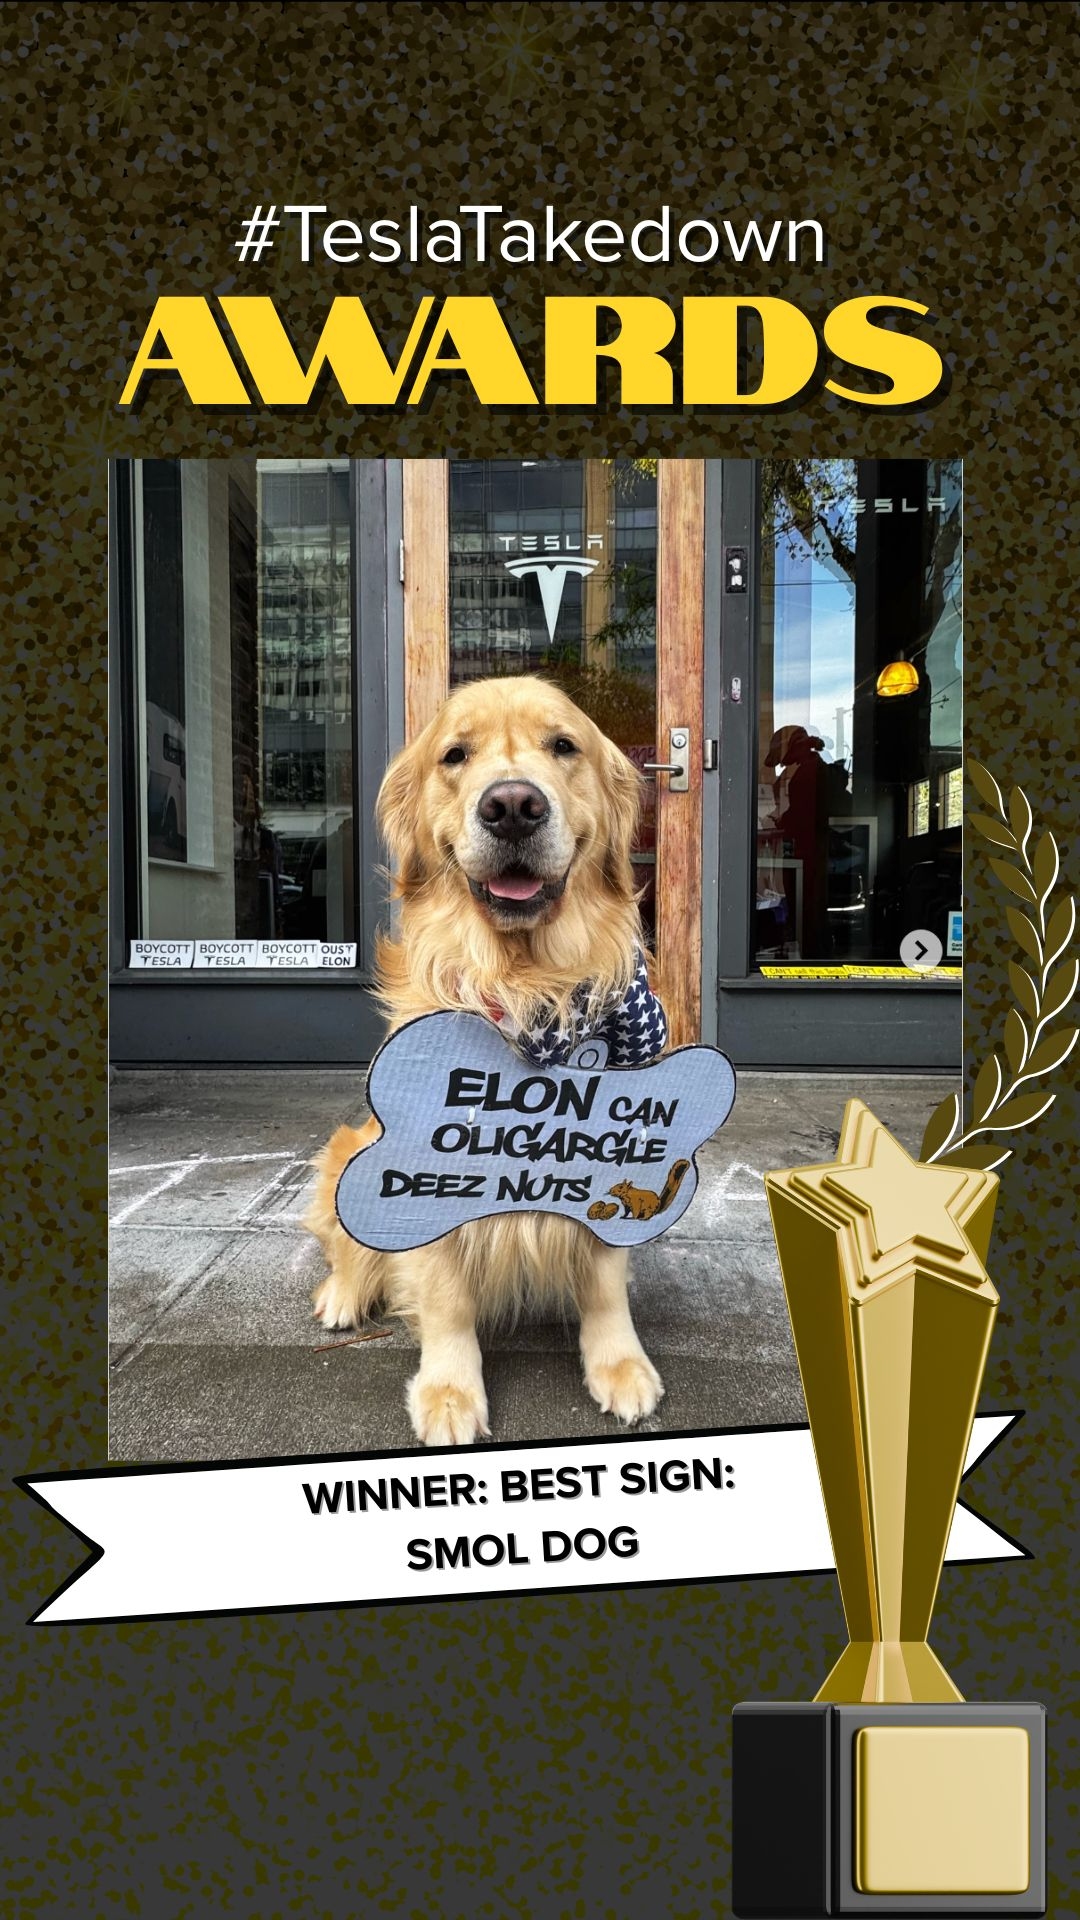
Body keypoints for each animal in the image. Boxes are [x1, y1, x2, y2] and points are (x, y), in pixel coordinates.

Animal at [304, 675, 667, 1446]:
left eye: (563, 745)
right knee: (346, 1245)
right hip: (349, 1148)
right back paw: (344, 1294)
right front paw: (449, 1392)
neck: (528, 987)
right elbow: (445, 1298)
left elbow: (604, 1282)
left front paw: (619, 1365)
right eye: (455, 755)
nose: (512, 806)